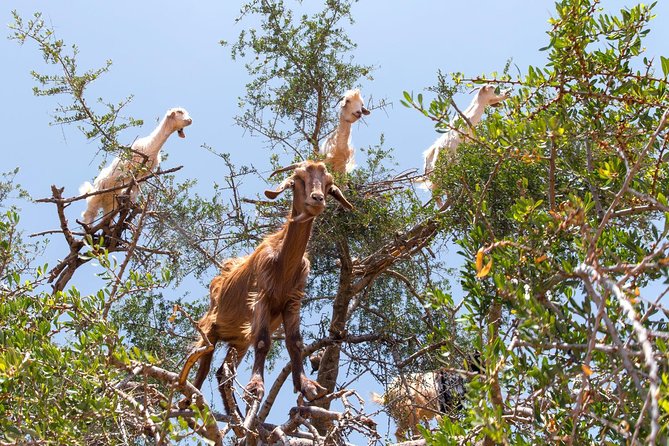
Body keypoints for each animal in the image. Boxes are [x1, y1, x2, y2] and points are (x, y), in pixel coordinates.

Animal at [185, 160, 352, 412]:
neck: (283, 263)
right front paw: (256, 387)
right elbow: (263, 342)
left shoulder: (293, 300)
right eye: (297, 179)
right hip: (210, 328)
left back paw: (231, 406)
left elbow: (295, 342)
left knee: (222, 371)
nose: (317, 199)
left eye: (328, 184)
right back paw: (188, 400)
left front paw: (306, 385)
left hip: (239, 340)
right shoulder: (261, 295)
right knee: (201, 366)